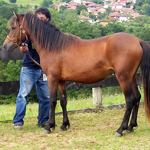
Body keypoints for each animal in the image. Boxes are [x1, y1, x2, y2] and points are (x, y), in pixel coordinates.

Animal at [2, 12, 150, 136]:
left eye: (14, 27)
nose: (5, 46)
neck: (53, 46)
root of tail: (137, 41)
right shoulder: (61, 80)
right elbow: (63, 101)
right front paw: (64, 125)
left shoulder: (52, 79)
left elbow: (52, 101)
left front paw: (49, 126)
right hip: (131, 77)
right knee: (137, 97)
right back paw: (131, 126)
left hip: (123, 78)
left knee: (130, 100)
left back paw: (121, 129)